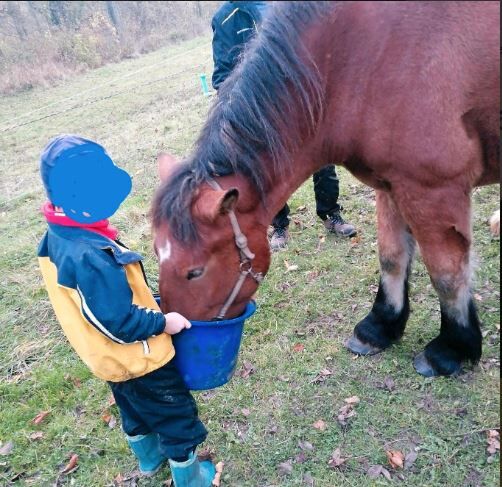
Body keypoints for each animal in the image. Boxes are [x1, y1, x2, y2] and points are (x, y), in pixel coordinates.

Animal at [151, 0, 500, 378]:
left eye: (194, 271)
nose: (176, 336)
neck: (363, 60)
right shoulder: (391, 185)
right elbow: (391, 257)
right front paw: (379, 328)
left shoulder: (433, 191)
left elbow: (447, 274)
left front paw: (452, 349)